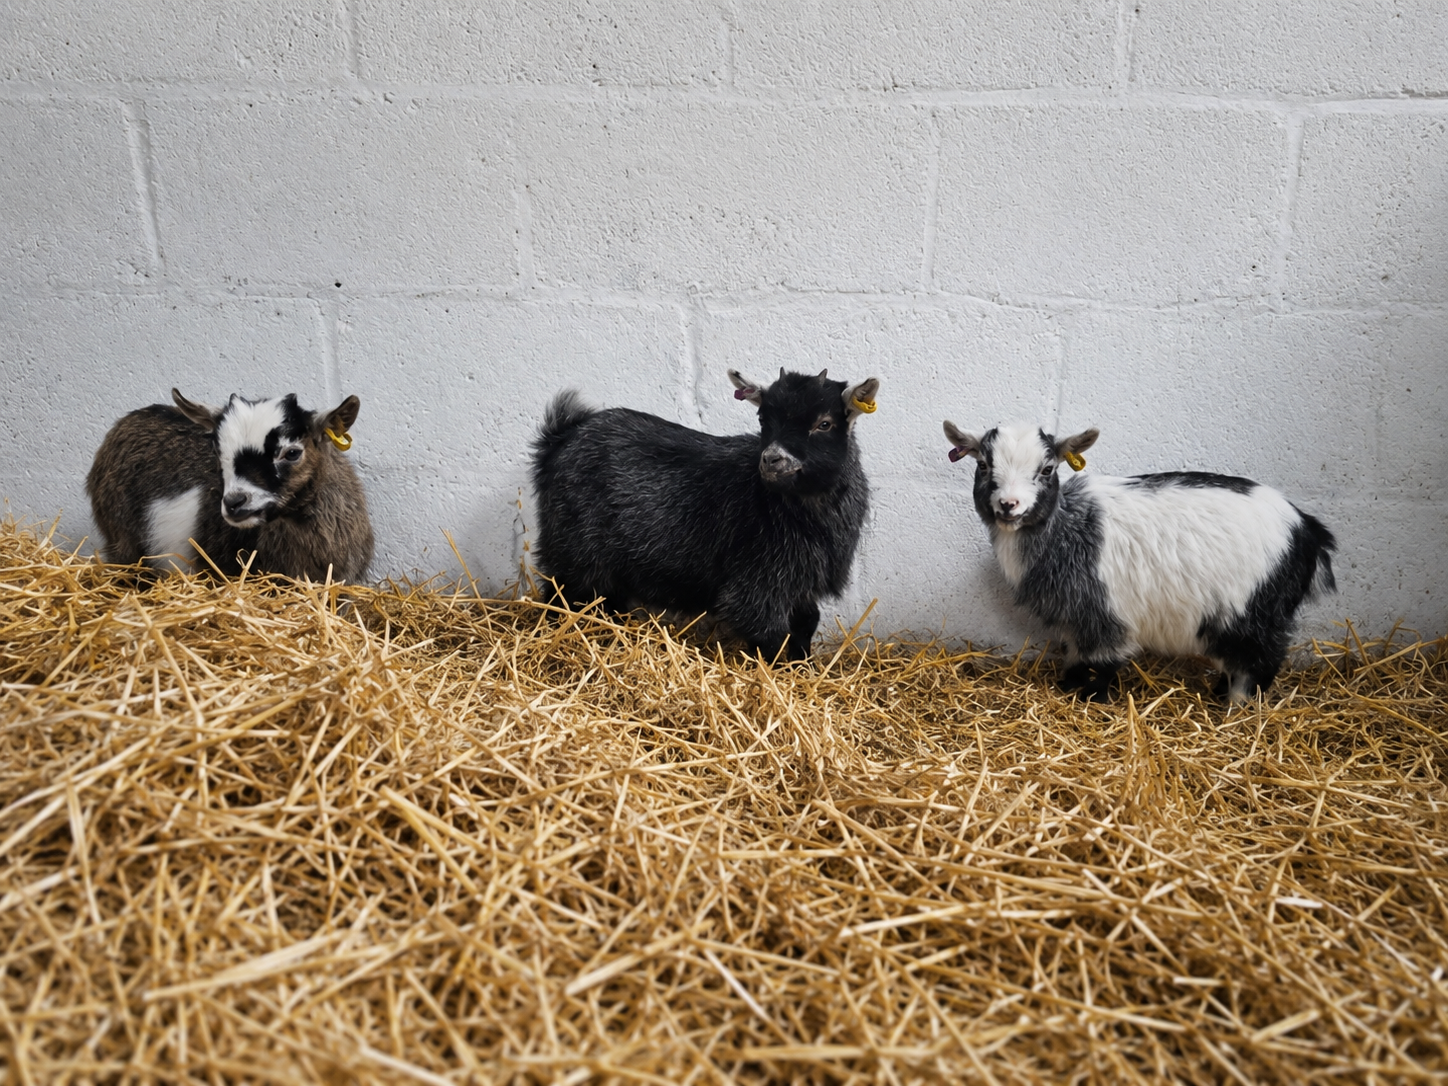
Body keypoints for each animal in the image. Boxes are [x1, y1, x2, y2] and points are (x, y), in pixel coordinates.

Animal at [530, 369, 880, 661]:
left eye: (824, 423)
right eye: (762, 419)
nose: (772, 459)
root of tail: (561, 437)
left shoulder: (803, 581)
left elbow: (808, 621)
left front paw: (804, 666)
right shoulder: (757, 582)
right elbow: (771, 635)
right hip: (575, 552)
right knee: (559, 597)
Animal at [943, 420, 1336, 702]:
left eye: (1047, 469)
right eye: (983, 464)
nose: (1009, 505)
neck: (1067, 530)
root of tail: (1308, 531)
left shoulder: (1105, 615)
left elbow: (1104, 662)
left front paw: (1093, 697)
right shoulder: (1074, 617)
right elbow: (1074, 656)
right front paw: (1068, 685)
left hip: (1254, 611)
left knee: (1260, 660)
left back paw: (1236, 705)